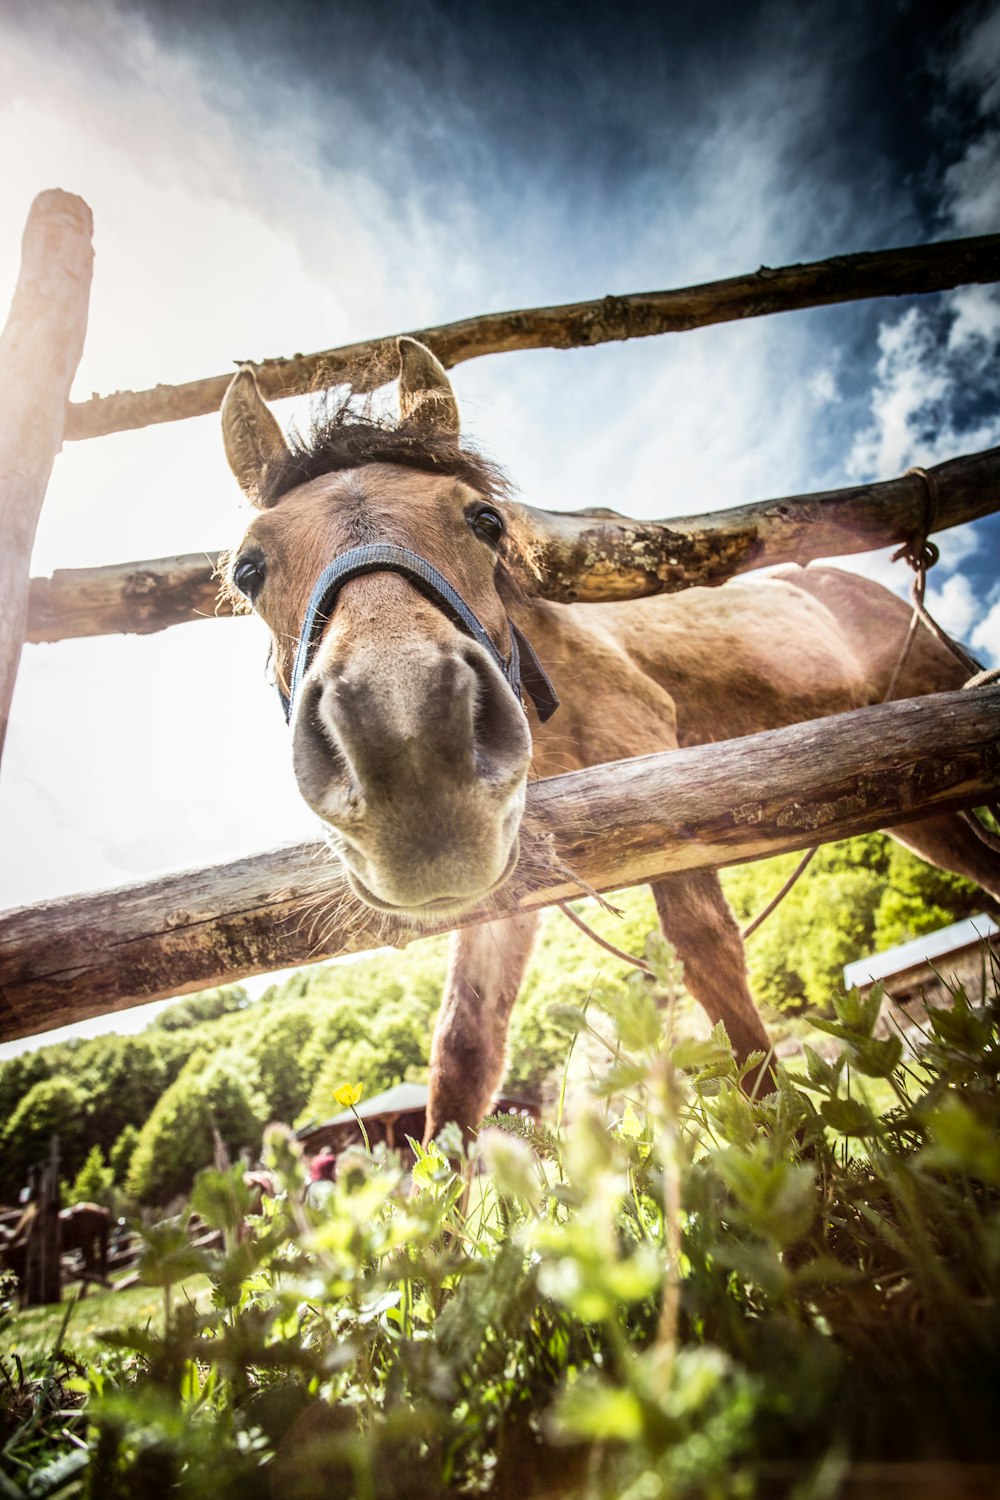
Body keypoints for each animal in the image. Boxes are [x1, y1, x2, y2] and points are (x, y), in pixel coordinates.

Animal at [220, 337, 1000, 1134]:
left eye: (485, 521)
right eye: (249, 569)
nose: (405, 739)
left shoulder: (655, 780)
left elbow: (707, 958)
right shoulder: (506, 867)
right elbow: (465, 1046)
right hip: (919, 804)